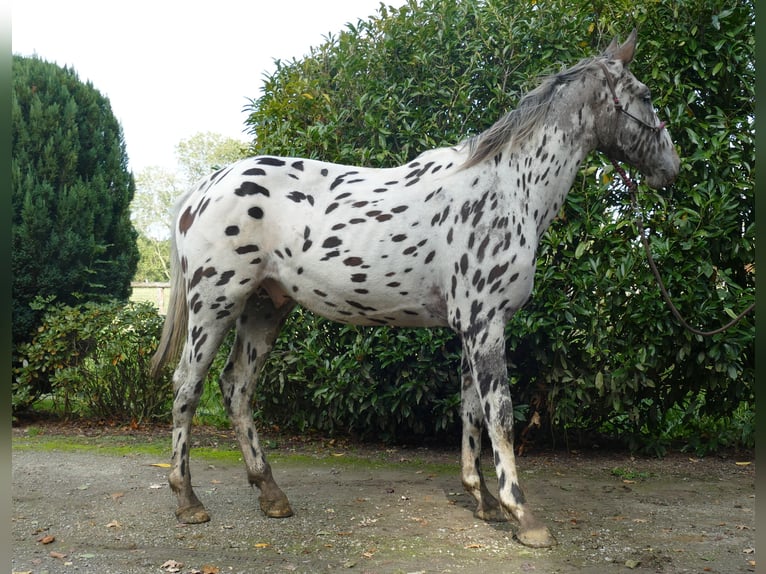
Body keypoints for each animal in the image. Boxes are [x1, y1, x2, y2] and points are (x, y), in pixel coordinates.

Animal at [150, 29, 680, 552]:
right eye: (647, 95)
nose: (672, 169)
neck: (508, 189)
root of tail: (202, 189)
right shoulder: (485, 323)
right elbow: (501, 415)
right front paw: (522, 514)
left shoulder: (473, 327)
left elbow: (471, 412)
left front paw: (482, 499)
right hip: (214, 305)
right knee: (188, 387)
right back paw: (188, 501)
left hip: (265, 306)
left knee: (236, 387)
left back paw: (271, 494)